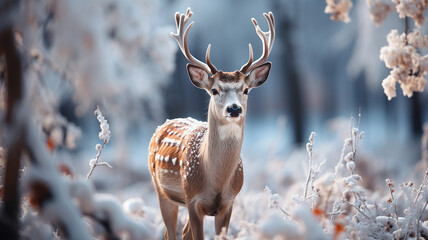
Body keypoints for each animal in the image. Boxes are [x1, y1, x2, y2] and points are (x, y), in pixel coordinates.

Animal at [147, 7, 274, 240]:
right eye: (214, 90)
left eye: (246, 90)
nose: (234, 109)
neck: (215, 181)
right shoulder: (192, 200)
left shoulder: (228, 203)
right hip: (161, 191)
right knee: (171, 233)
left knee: (183, 232)